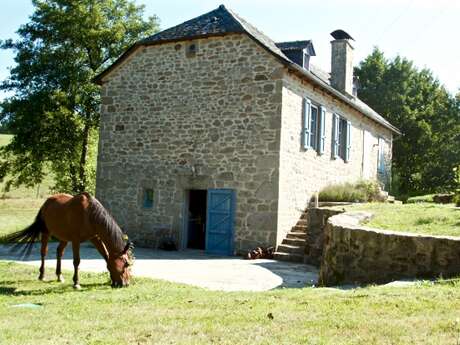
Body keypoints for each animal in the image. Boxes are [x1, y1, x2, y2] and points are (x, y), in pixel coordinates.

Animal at [2, 192, 133, 286]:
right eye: (126, 264)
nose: (125, 284)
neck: (89, 214)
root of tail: (46, 203)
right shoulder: (76, 240)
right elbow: (76, 261)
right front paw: (76, 283)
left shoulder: (95, 238)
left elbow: (106, 257)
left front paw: (112, 280)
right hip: (46, 233)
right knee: (43, 252)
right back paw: (42, 275)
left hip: (64, 237)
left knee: (59, 252)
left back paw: (59, 276)